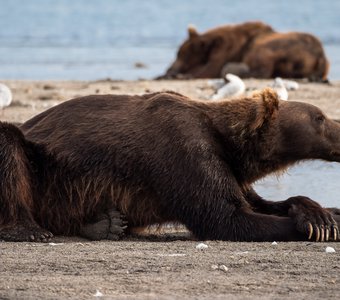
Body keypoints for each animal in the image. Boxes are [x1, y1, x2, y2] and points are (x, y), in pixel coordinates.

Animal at [0, 88, 340, 241]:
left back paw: (106, 223)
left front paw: (322, 214)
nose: (339, 128)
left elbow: (259, 203)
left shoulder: (228, 169)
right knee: (10, 147)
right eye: (319, 117)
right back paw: (28, 230)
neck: (231, 145)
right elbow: (226, 217)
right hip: (43, 168)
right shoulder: (184, 151)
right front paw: (320, 226)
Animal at [159, 20, 330, 81]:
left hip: (280, 44)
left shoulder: (227, 49)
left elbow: (210, 69)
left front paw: (177, 75)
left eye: (180, 54)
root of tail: (320, 56)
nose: (169, 68)